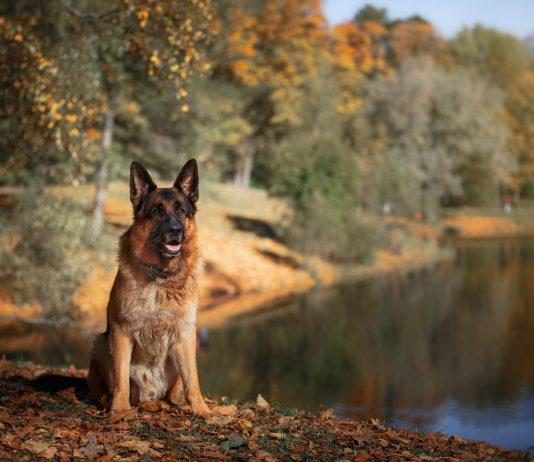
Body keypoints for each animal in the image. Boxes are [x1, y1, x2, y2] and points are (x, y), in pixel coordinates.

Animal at [87, 159, 210, 416]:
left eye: (181, 210)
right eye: (157, 211)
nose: (175, 231)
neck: (161, 278)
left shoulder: (186, 334)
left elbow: (193, 379)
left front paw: (202, 411)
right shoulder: (121, 331)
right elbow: (121, 379)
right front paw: (120, 410)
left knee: (169, 392)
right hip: (100, 344)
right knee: (115, 389)